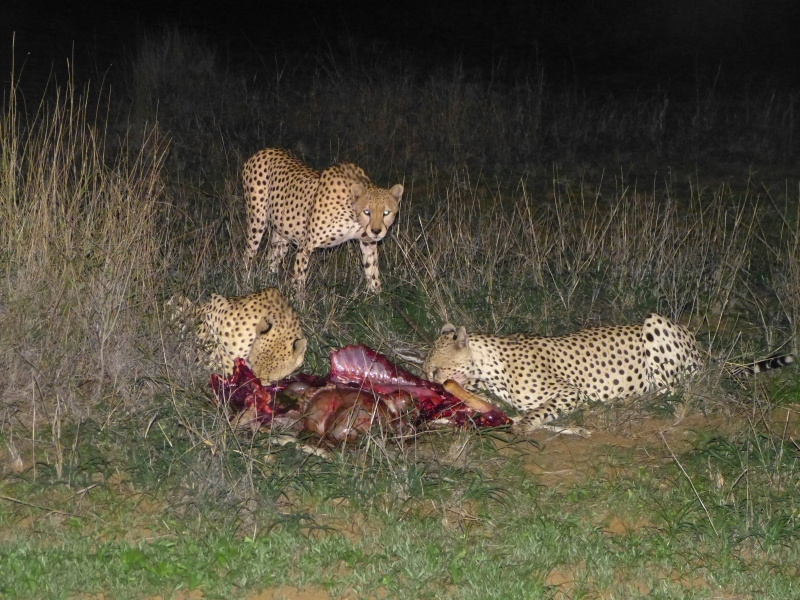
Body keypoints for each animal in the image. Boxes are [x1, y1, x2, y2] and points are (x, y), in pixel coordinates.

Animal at [242, 148, 404, 295]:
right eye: (367, 212)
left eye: (386, 213)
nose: (376, 231)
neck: (352, 213)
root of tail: (263, 151)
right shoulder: (305, 245)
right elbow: (299, 278)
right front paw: (297, 302)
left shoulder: (368, 242)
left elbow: (373, 273)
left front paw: (378, 299)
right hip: (257, 222)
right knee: (248, 255)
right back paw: (246, 282)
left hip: (282, 233)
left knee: (272, 258)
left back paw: (269, 284)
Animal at [423, 313, 794, 434]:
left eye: (437, 369)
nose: (430, 384)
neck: (490, 364)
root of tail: (701, 347)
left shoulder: (570, 391)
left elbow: (538, 410)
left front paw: (525, 424)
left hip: (655, 323)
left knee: (675, 390)